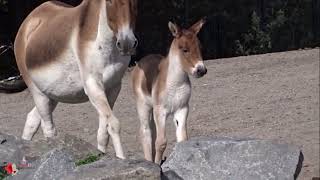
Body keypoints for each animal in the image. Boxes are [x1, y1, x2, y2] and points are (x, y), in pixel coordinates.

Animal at [131, 19, 206, 164]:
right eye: (185, 49)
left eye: (200, 47)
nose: (201, 70)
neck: (175, 83)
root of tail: (141, 61)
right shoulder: (161, 111)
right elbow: (161, 143)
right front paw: (157, 165)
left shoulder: (182, 109)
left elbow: (182, 139)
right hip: (143, 106)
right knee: (145, 133)